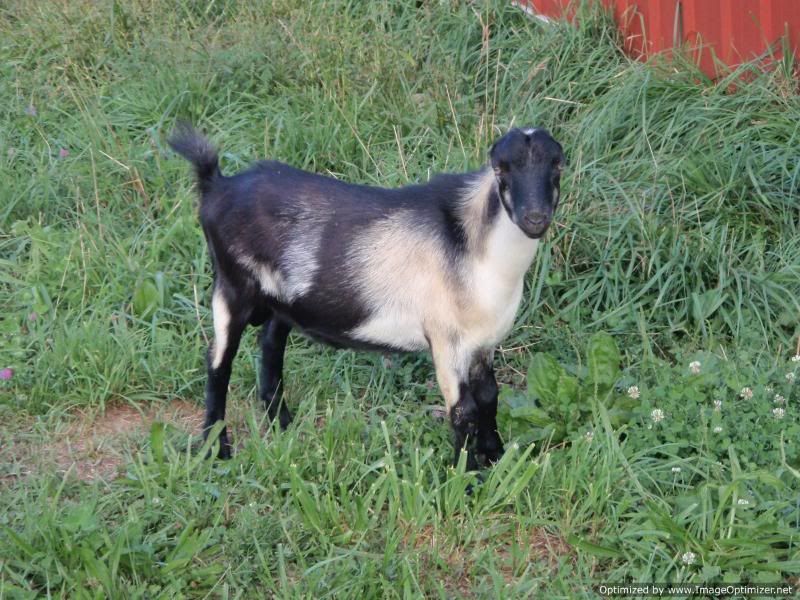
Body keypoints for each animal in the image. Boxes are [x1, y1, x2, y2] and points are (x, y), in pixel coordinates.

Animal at [169, 124, 564, 469]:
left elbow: (489, 397)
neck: (473, 247)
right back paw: (216, 448)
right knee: (218, 361)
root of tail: (216, 185)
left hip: (283, 300)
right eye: (501, 168)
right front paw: (467, 479)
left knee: (270, 344)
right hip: (231, 286)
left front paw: (497, 458)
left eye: (558, 165)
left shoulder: (483, 343)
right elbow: (462, 411)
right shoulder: (445, 339)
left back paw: (282, 423)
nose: (534, 218)